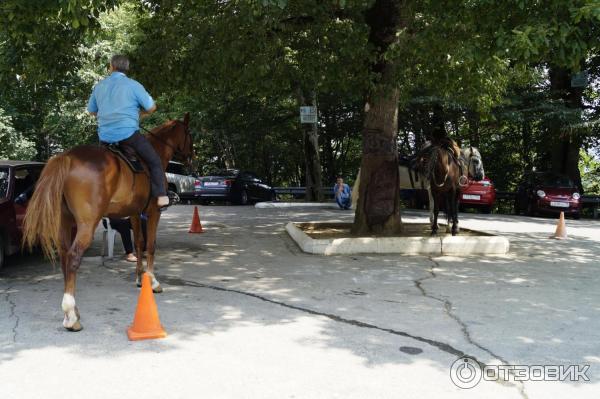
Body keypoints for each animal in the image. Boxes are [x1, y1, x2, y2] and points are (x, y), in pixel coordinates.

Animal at [22, 115, 192, 332]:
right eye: (189, 134)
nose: (190, 157)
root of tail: (67, 157)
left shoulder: (135, 214)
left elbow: (138, 244)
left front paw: (140, 278)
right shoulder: (153, 213)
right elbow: (151, 246)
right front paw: (153, 282)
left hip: (65, 223)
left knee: (64, 257)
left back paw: (72, 311)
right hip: (87, 224)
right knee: (74, 257)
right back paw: (71, 317)